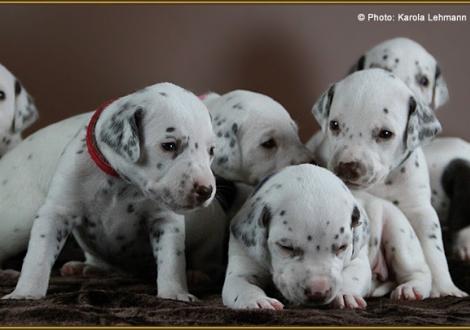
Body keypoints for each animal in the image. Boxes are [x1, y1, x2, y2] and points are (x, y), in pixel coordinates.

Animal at [2, 82, 217, 300]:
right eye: (169, 145)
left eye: (211, 150)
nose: (206, 190)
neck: (119, 181)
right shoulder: (57, 212)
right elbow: (38, 257)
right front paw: (26, 293)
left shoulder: (165, 221)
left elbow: (172, 260)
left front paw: (174, 292)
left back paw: (195, 275)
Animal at [306, 69, 464, 296]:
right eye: (334, 125)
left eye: (385, 134)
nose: (347, 167)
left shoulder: (420, 211)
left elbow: (434, 250)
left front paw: (444, 288)